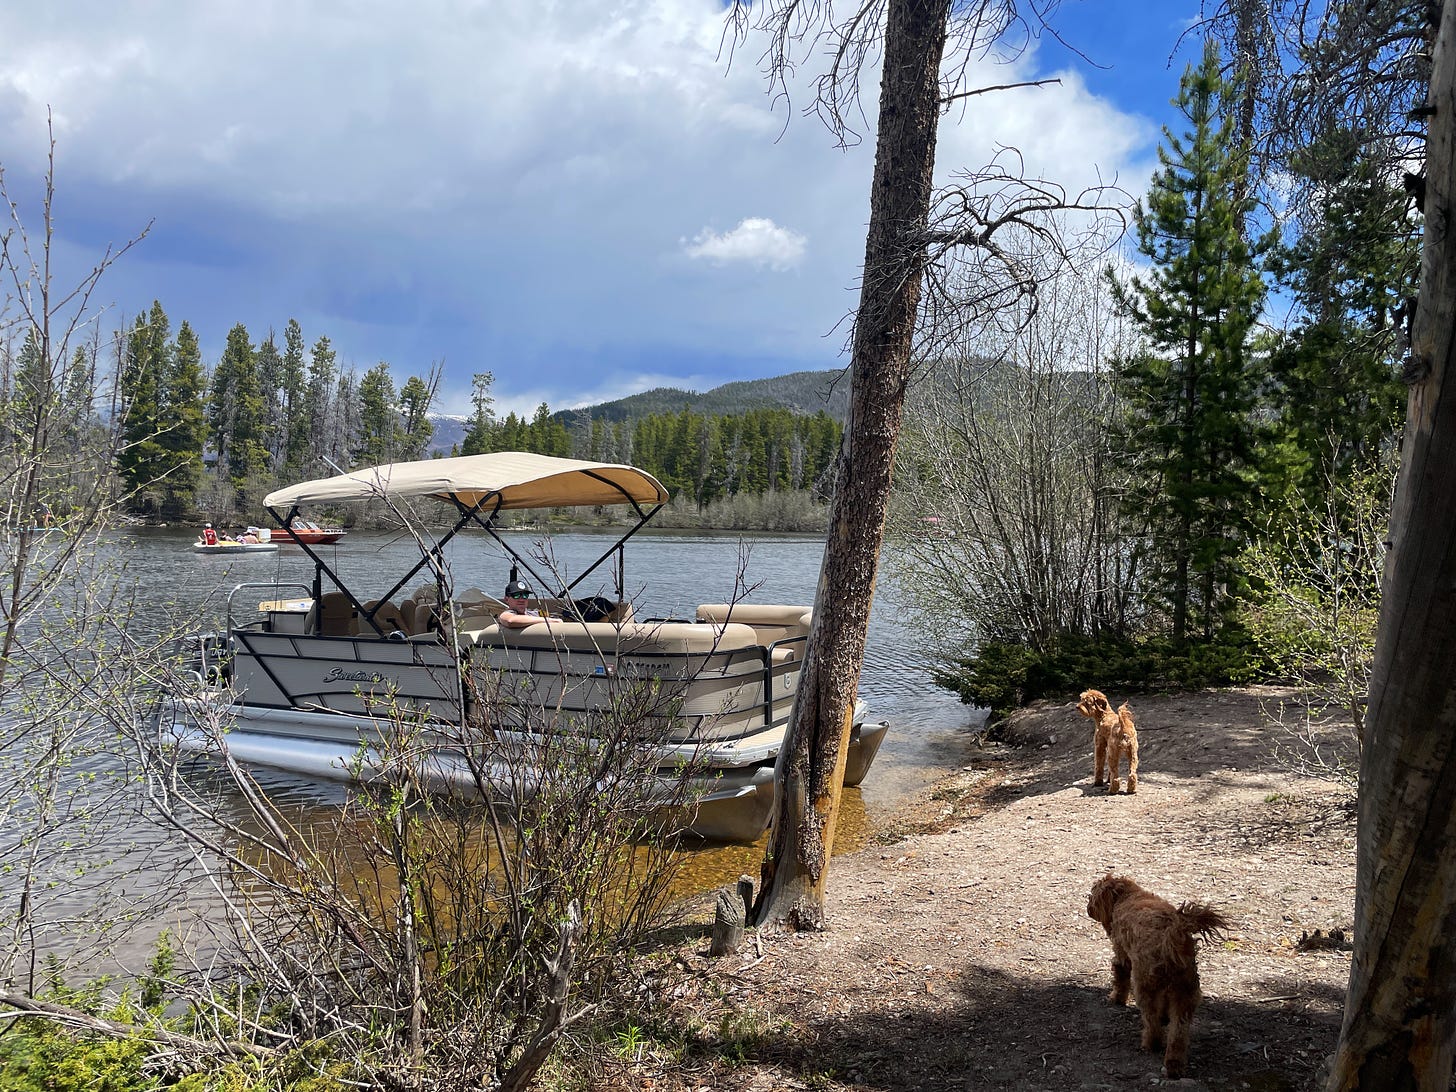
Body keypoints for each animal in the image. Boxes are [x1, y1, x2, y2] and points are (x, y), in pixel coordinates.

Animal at [1089, 879, 1223, 1083]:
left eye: (1092, 896)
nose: (1088, 908)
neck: (1128, 896)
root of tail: (1173, 934)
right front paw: (1165, 1016)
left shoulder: (1122, 956)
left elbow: (1120, 979)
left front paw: (1116, 999)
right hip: (1185, 993)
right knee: (1178, 1034)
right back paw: (1174, 1066)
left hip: (1145, 986)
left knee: (1151, 1020)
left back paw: (1151, 1044)